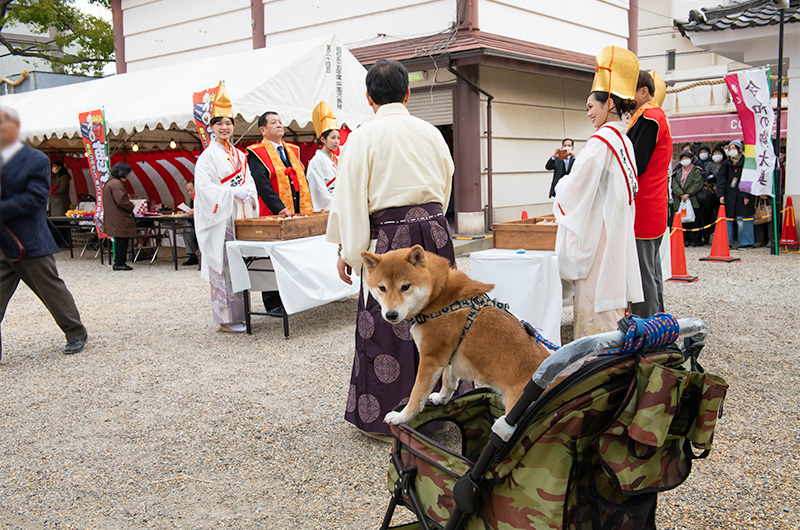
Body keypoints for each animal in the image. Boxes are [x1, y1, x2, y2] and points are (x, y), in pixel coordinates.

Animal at [360, 244, 552, 424]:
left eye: (405, 287)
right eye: (382, 288)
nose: (391, 314)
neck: (438, 296)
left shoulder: (430, 358)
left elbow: (416, 395)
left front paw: (402, 417)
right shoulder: (449, 353)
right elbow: (448, 381)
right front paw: (441, 398)